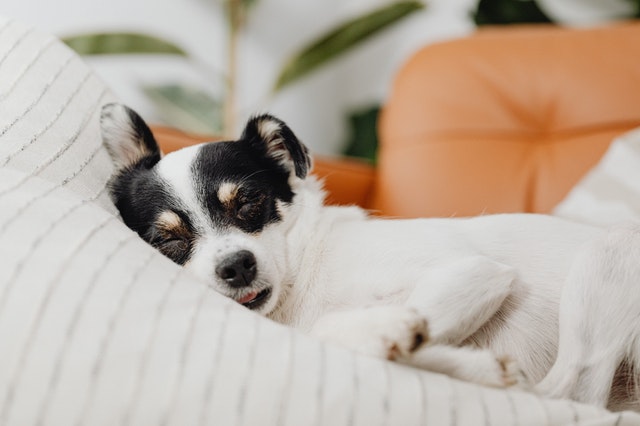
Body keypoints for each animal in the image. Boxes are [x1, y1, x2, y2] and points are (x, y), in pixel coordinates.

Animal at [101, 101, 640, 412]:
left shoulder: (474, 272)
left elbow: (340, 328)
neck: (305, 277)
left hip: (609, 252)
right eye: (168, 239)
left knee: (572, 395)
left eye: (250, 203)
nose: (236, 266)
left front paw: (393, 331)